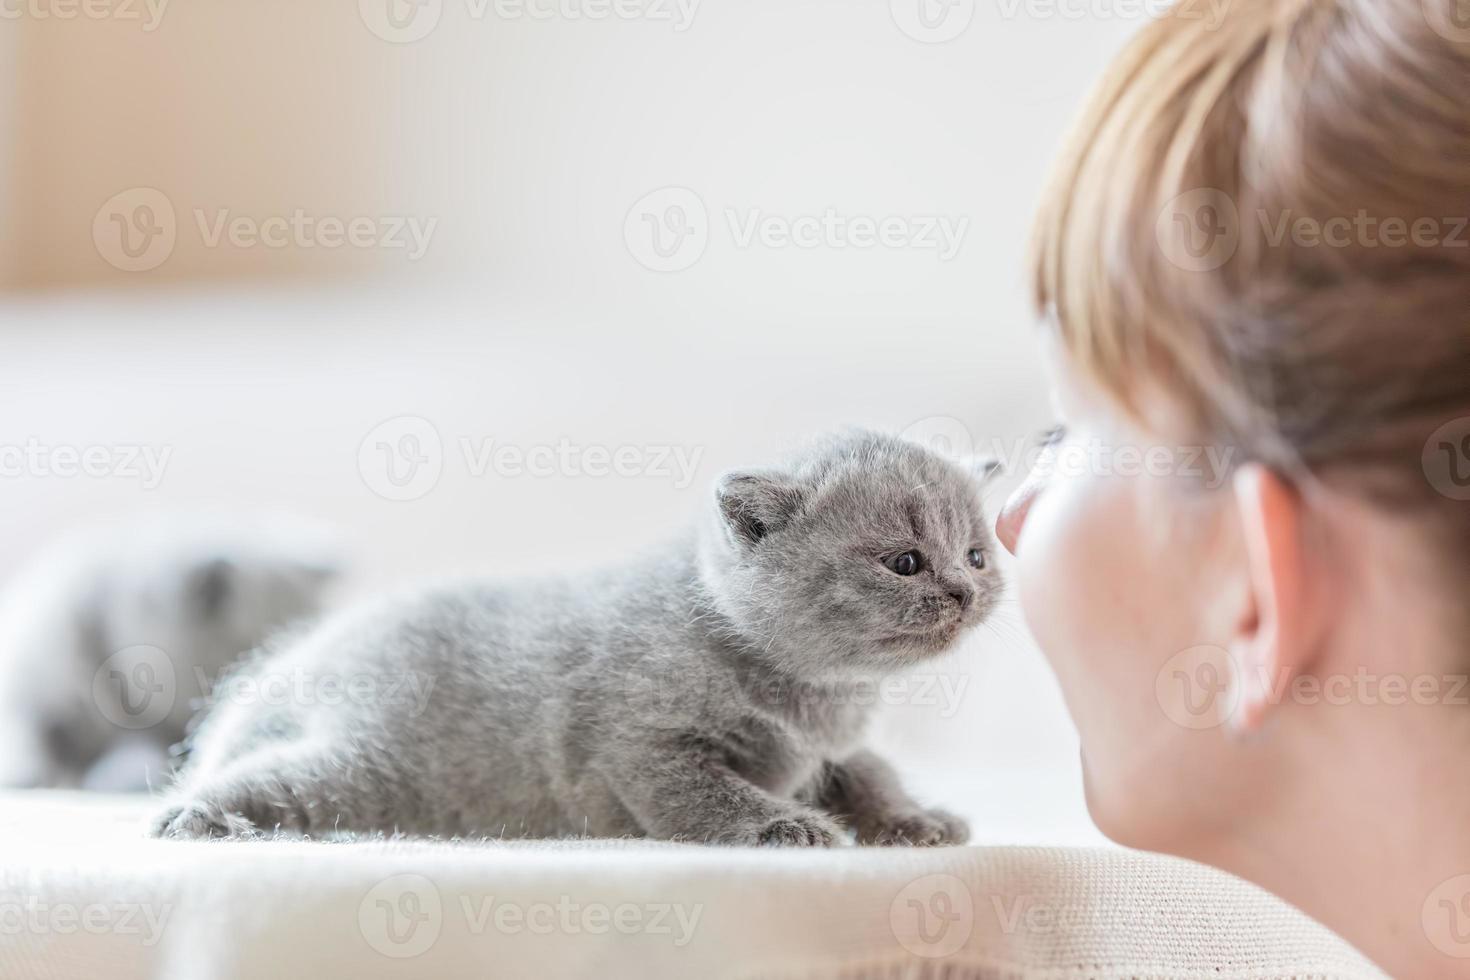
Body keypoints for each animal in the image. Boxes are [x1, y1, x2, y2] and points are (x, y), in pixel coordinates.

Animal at [152, 431, 999, 846]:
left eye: (977, 555)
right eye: (904, 562)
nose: (964, 591)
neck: (819, 695)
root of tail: (305, 655)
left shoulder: (832, 747)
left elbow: (872, 771)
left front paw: (914, 819)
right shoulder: (639, 745)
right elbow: (708, 793)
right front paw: (780, 824)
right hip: (368, 767)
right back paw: (194, 818)